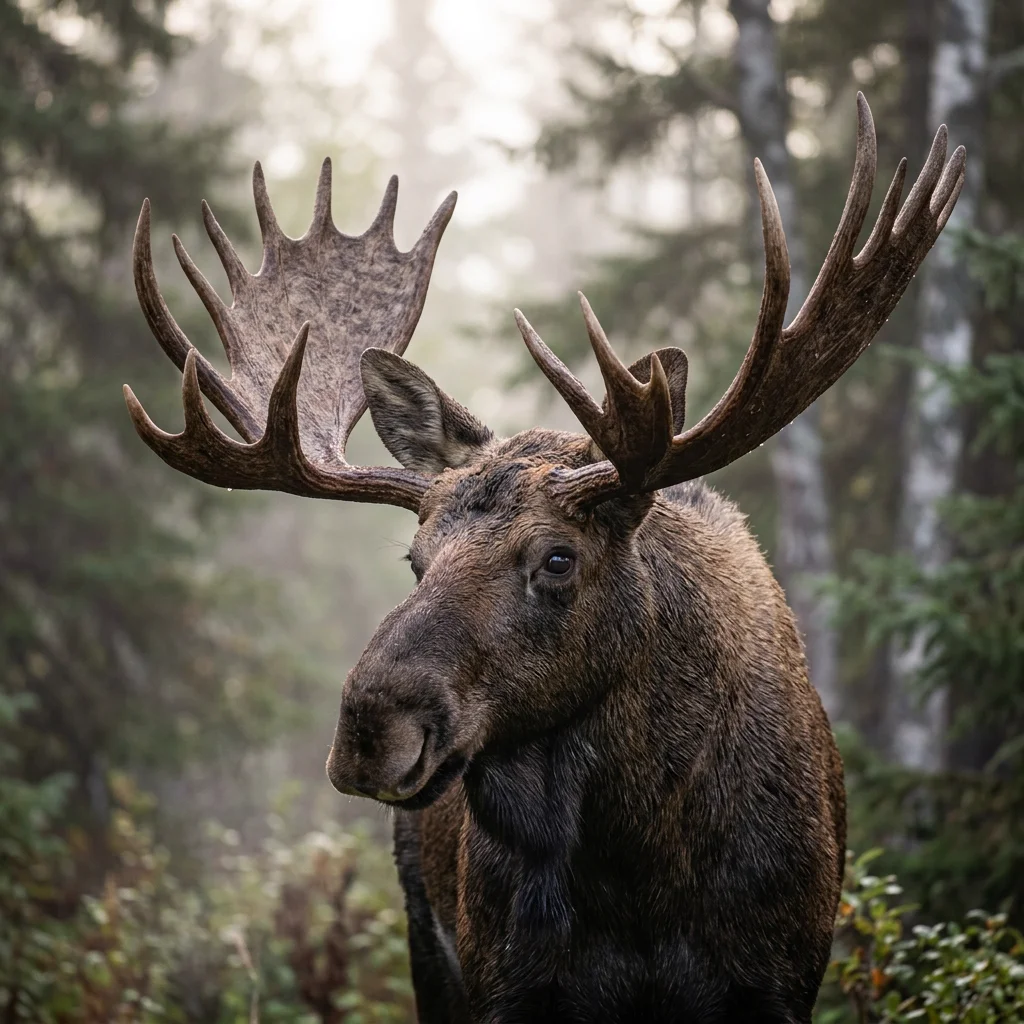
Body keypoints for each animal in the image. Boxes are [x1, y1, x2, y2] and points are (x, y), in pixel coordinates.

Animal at [124, 94, 964, 1023]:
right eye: (415, 557)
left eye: (557, 560)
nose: (370, 728)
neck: (639, 866)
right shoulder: (505, 979)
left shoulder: (776, 976)